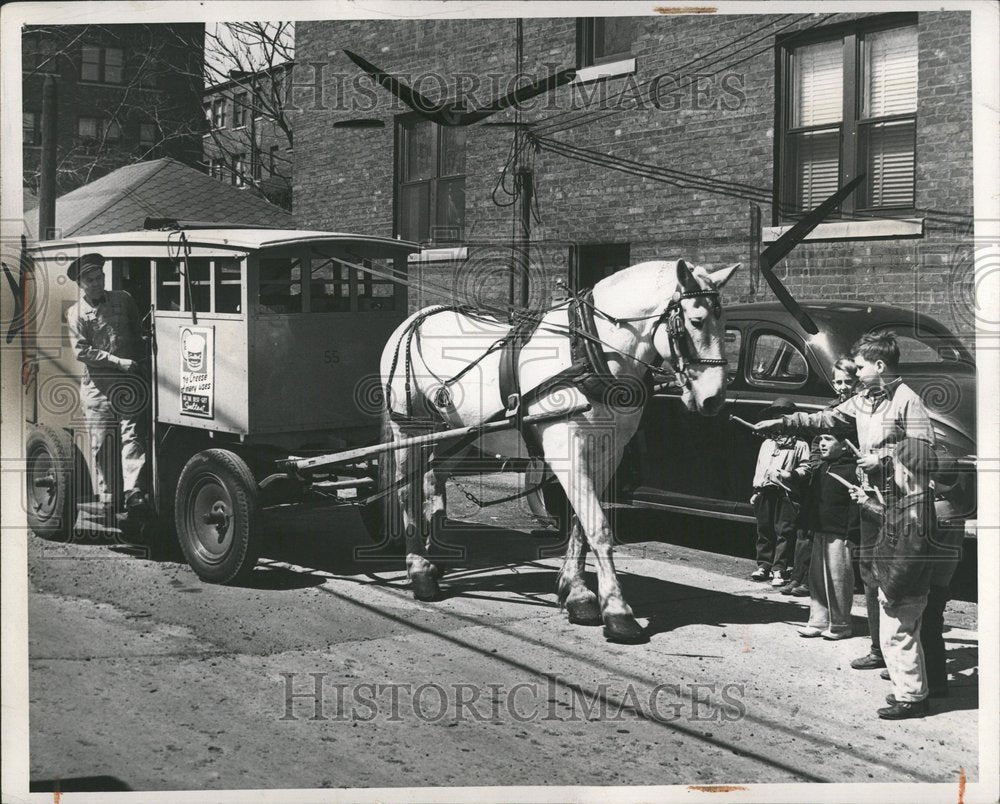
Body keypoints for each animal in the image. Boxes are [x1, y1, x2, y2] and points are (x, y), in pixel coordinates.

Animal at [378, 260, 740, 644]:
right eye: (696, 321)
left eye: (725, 324)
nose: (713, 399)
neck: (590, 353)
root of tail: (415, 318)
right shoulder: (568, 452)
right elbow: (597, 526)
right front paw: (618, 613)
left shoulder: (607, 453)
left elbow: (581, 525)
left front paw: (577, 594)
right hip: (410, 428)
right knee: (406, 490)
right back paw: (420, 571)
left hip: (456, 433)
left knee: (433, 480)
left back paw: (438, 556)